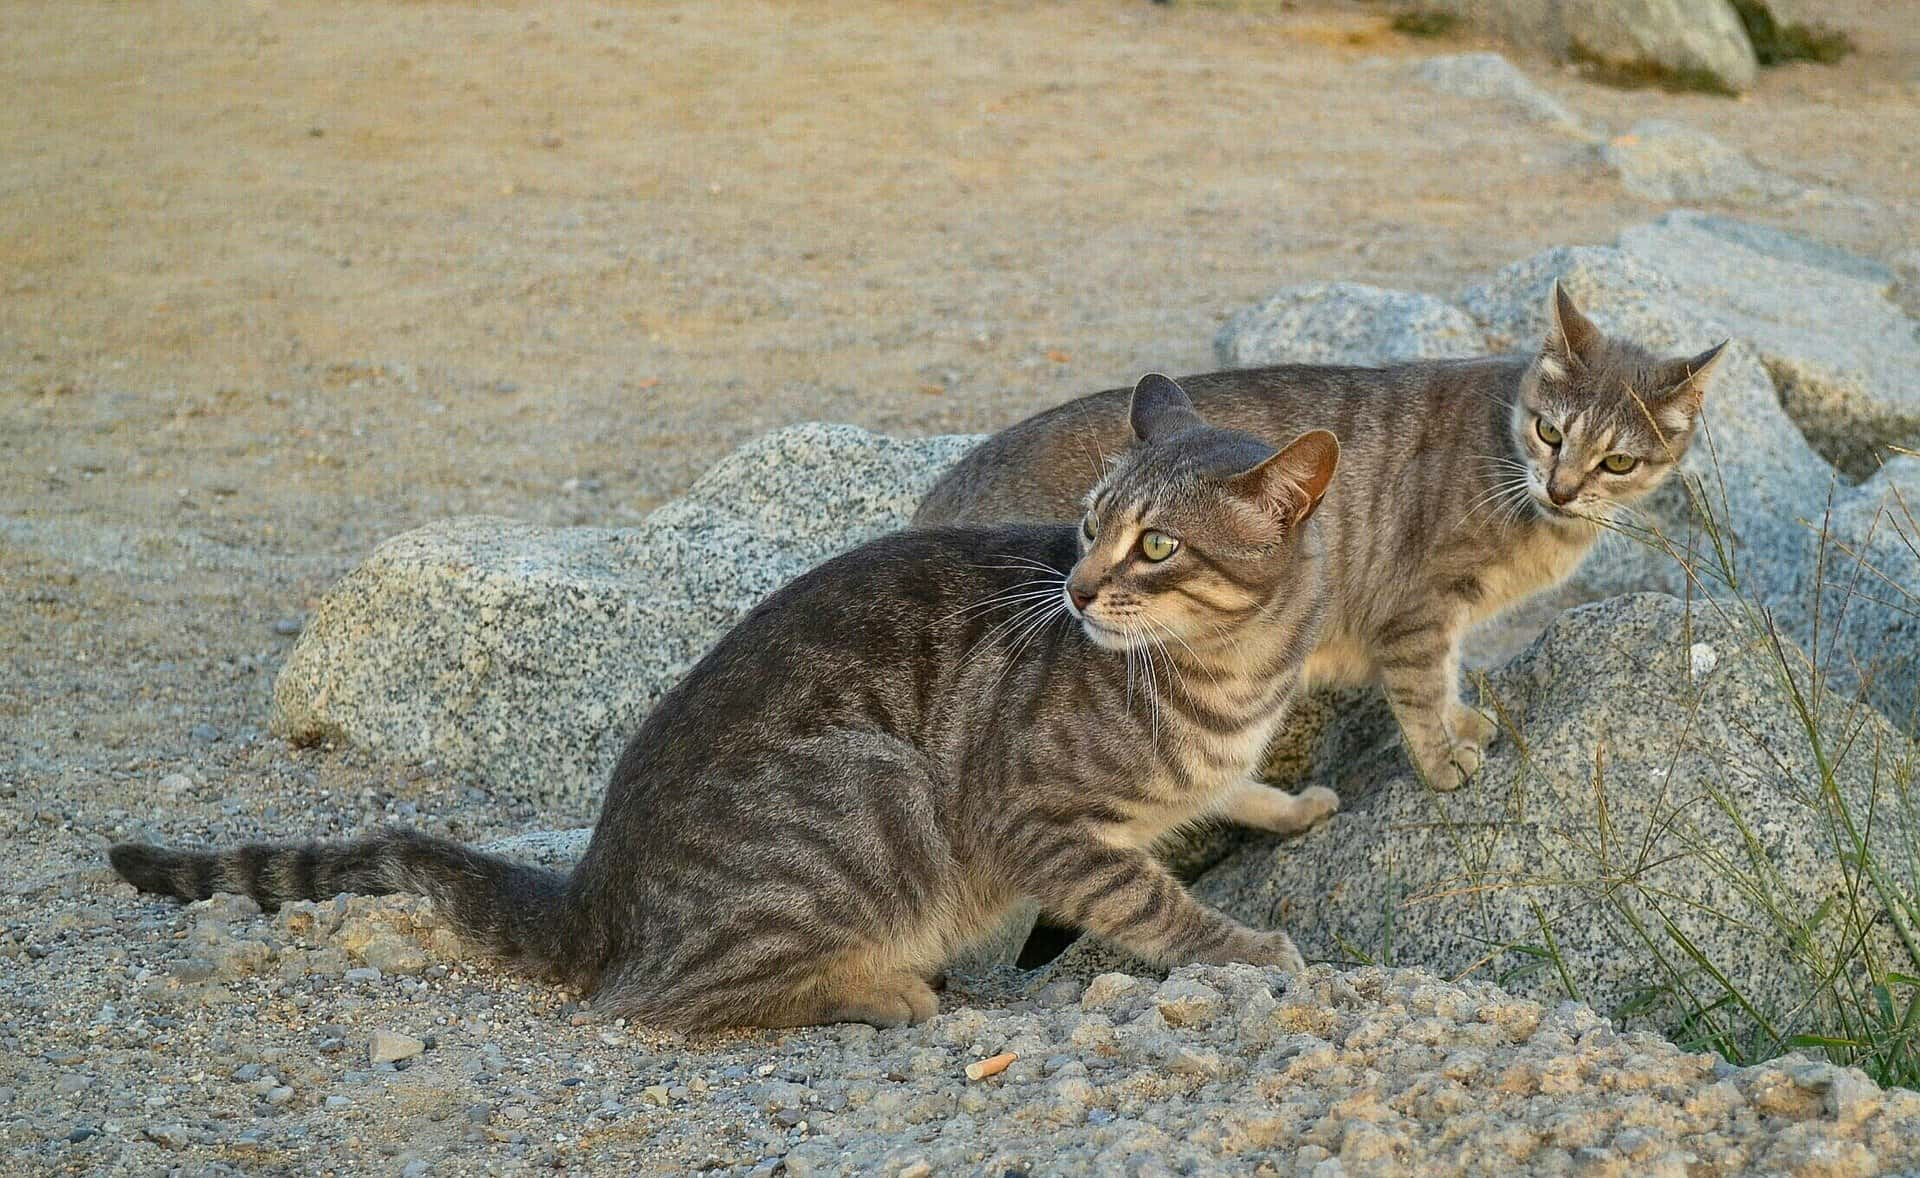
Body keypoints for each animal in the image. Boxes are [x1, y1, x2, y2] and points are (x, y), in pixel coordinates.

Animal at [120, 377, 1344, 1036]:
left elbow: (1238, 790)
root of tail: (593, 896)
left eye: (1159, 544)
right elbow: (1155, 905)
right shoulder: (1037, 824)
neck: (1228, 675)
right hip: (872, 796)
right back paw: (881, 988)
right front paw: (1247, 946)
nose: (1078, 587)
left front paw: (1295, 803)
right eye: (1089, 523)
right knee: (671, 997)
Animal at [913, 282, 1728, 790]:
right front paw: (1442, 759)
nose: (1562, 488)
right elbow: (1423, 685)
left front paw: (1463, 722)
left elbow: (1449, 672)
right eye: (1549, 432)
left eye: (1618, 461)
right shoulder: (1418, 606)